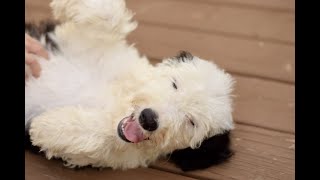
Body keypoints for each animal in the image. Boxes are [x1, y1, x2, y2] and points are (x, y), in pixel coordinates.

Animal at [25, 0, 235, 170]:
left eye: (191, 122)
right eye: (175, 84)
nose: (148, 119)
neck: (121, 96)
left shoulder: (119, 154)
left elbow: (102, 136)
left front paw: (47, 127)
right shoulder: (78, 43)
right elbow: (109, 16)